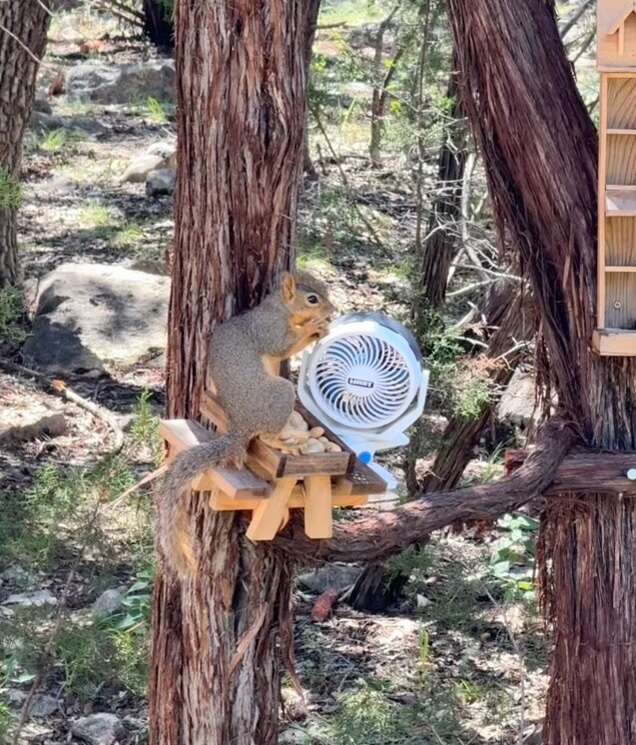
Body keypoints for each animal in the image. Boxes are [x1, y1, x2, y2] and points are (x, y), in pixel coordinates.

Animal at [158, 271, 335, 576]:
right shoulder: (269, 329)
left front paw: (321, 329)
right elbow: (283, 346)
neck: (281, 309)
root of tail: (239, 426)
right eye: (312, 299)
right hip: (280, 393)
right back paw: (289, 441)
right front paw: (314, 327)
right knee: (267, 435)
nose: (333, 311)